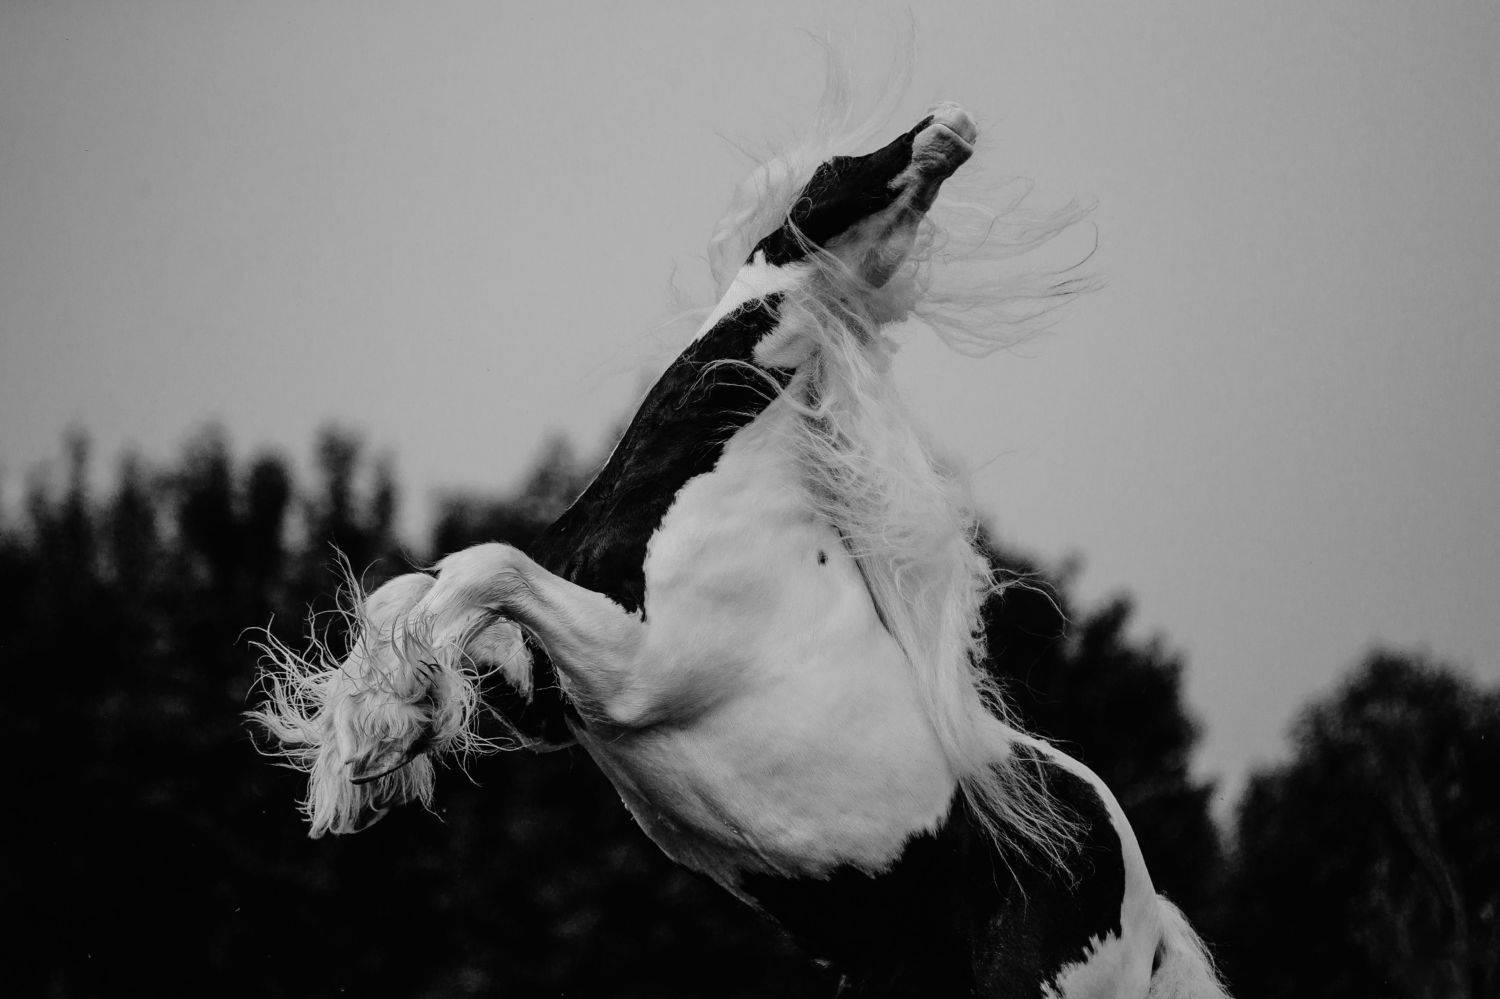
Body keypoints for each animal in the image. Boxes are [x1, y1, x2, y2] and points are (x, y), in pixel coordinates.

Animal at [251, 99, 1228, 998]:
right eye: (837, 168)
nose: (952, 128)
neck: (717, 486)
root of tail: (1144, 909)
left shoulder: (631, 668)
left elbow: (480, 565)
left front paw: (369, 747)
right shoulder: (546, 691)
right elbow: (411, 591)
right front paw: (361, 756)